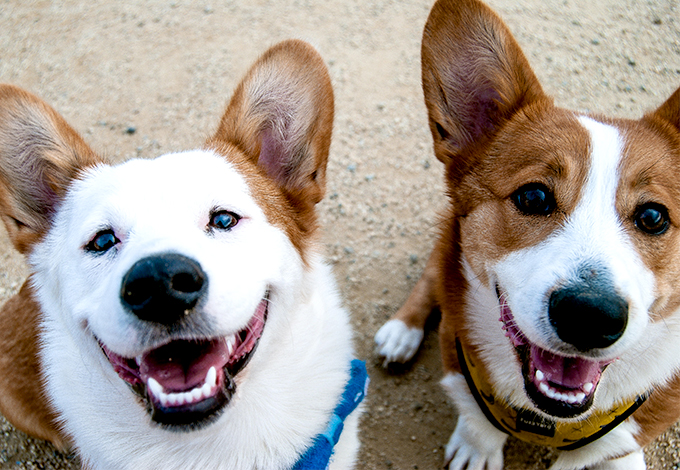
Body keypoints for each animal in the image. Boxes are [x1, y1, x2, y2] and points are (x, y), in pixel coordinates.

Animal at [374, 0, 680, 470]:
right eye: (533, 196)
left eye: (652, 216)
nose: (590, 316)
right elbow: (476, 417)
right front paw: (477, 447)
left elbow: (608, 450)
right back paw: (401, 332)